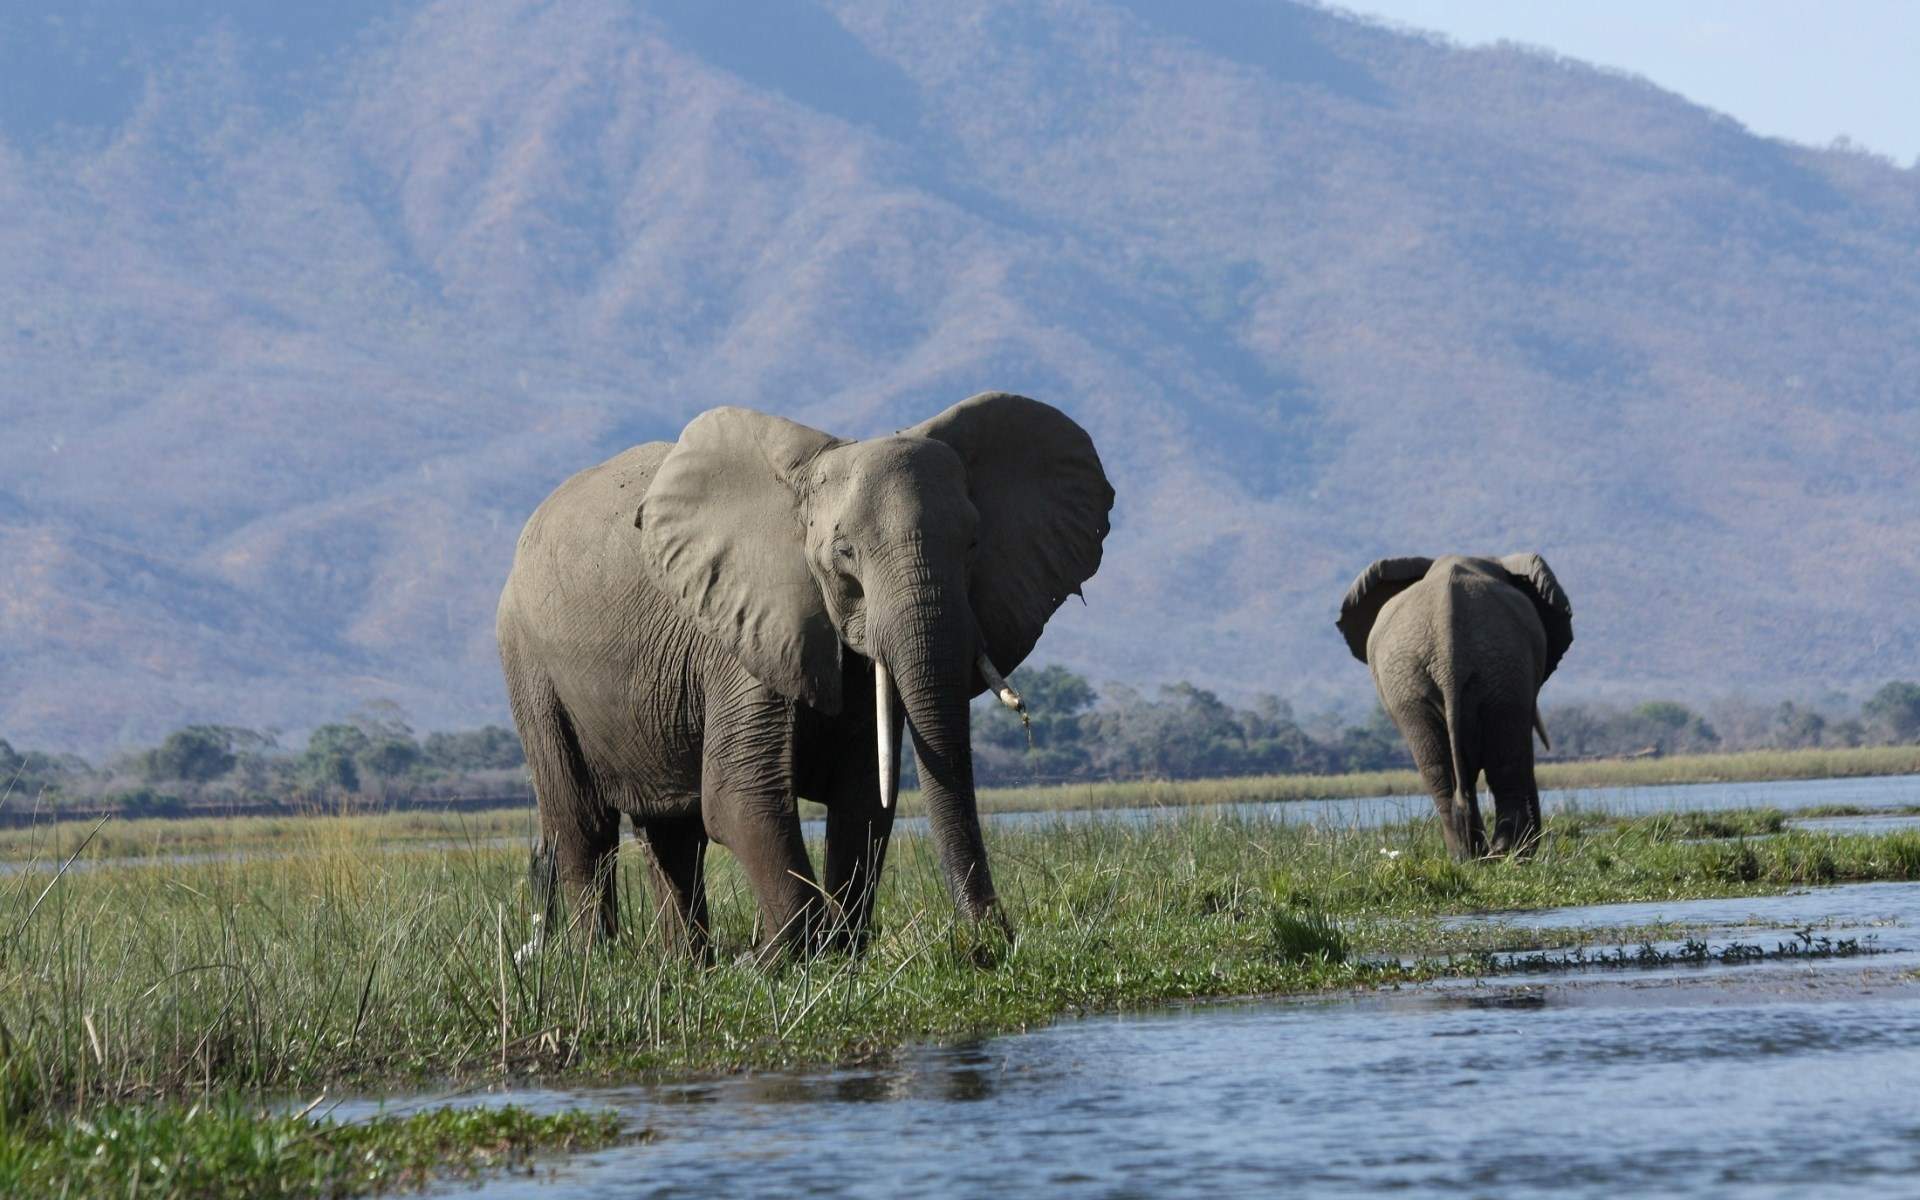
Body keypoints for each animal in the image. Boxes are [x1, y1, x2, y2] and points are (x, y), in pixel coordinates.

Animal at [496, 392, 1113, 957]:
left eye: (973, 543)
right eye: (844, 554)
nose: (992, 941)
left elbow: (864, 798)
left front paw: (840, 952)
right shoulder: (744, 629)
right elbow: (740, 795)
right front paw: (789, 958)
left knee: (671, 833)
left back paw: (689, 967)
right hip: (529, 667)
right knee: (582, 825)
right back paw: (596, 962)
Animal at [1335, 554, 1573, 860]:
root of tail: (1448, 656)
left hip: (1452, 676)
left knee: (1445, 768)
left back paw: (1472, 855)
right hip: (1490, 669)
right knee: (1497, 760)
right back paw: (1502, 854)